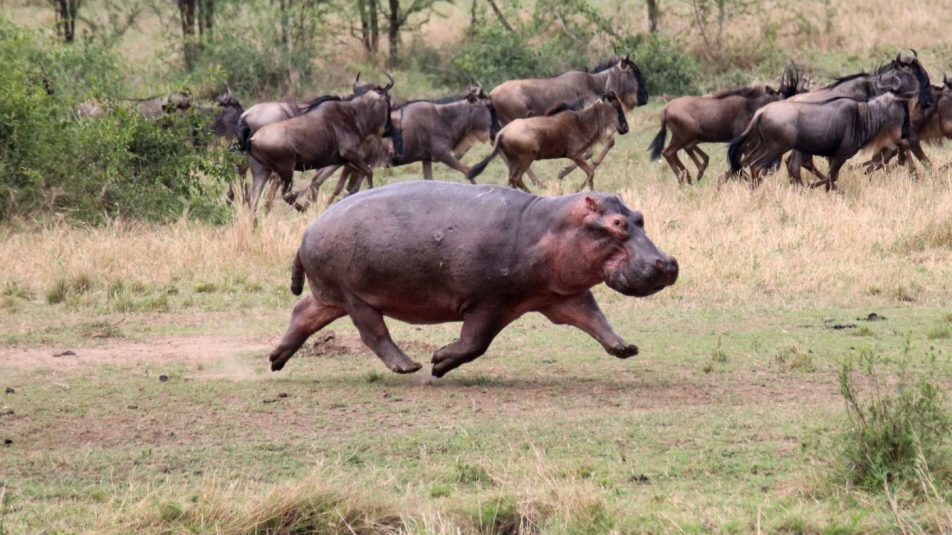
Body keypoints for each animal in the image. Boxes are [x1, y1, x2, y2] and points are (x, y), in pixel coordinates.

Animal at [268, 182, 676, 378]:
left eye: (639, 217)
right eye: (617, 223)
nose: (668, 263)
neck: (551, 227)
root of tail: (308, 230)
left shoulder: (561, 294)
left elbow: (594, 318)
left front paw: (625, 348)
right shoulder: (489, 302)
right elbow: (475, 342)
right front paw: (438, 361)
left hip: (330, 295)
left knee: (302, 313)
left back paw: (275, 359)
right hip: (356, 296)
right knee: (374, 333)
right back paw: (408, 366)